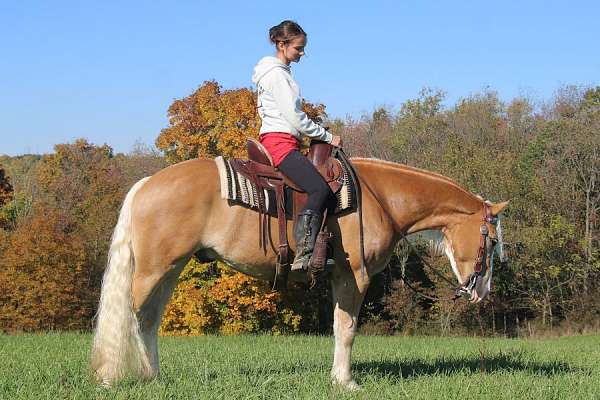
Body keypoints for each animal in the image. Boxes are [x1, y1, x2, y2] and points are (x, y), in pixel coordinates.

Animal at [91, 157, 508, 390]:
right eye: (490, 240)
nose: (481, 291)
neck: (379, 197)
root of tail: (147, 184)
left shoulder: (343, 278)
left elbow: (341, 328)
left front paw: (339, 378)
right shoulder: (354, 277)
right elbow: (347, 329)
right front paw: (346, 381)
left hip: (170, 268)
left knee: (148, 320)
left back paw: (153, 377)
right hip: (152, 270)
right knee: (132, 316)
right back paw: (111, 377)